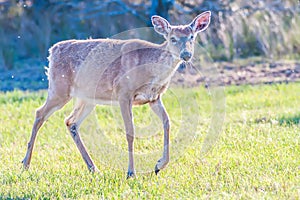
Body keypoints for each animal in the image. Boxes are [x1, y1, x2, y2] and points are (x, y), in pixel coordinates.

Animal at [22, 10, 211, 177]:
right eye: (173, 38)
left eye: (192, 37)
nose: (186, 54)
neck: (151, 72)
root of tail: (52, 51)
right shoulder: (123, 92)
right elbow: (130, 132)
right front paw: (131, 172)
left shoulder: (154, 98)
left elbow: (167, 122)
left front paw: (159, 165)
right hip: (59, 89)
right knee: (39, 113)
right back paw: (25, 164)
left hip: (87, 98)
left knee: (70, 122)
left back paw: (93, 168)